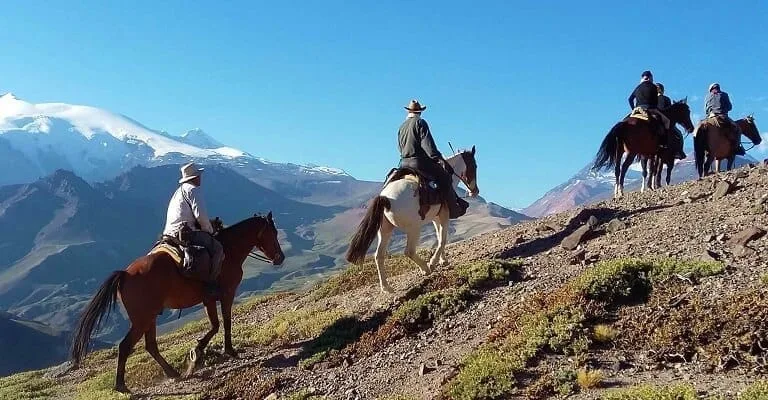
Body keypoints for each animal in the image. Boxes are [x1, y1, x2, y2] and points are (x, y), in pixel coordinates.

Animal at [70, 213, 285, 393]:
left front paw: (197, 353)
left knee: (151, 346)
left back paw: (172, 373)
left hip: (150, 317)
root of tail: (125, 274)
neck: (229, 251)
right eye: (273, 233)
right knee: (125, 346)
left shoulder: (208, 300)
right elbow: (224, 323)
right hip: (142, 320)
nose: (280, 258)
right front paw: (224, 351)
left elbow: (215, 325)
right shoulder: (226, 294)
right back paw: (121, 385)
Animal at [345, 147, 479, 294]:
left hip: (385, 230)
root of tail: (385, 198)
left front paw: (443, 260)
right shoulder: (444, 216)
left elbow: (439, 237)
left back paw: (386, 287)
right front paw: (434, 262)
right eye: (474, 166)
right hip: (414, 229)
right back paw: (425, 268)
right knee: (409, 251)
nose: (475, 191)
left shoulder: (436, 218)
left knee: (379, 256)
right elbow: (442, 240)